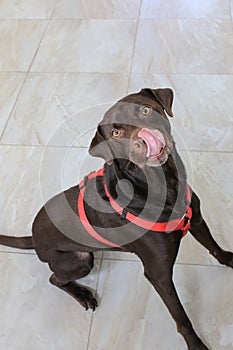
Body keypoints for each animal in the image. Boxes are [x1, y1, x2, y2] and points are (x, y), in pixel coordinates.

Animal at [0, 87, 233, 348]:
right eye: (116, 132)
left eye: (145, 110)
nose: (142, 142)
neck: (163, 186)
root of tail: (33, 238)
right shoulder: (159, 274)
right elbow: (181, 317)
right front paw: (195, 344)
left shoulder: (196, 220)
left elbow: (214, 248)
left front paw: (230, 259)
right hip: (80, 260)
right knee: (54, 279)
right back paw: (83, 295)